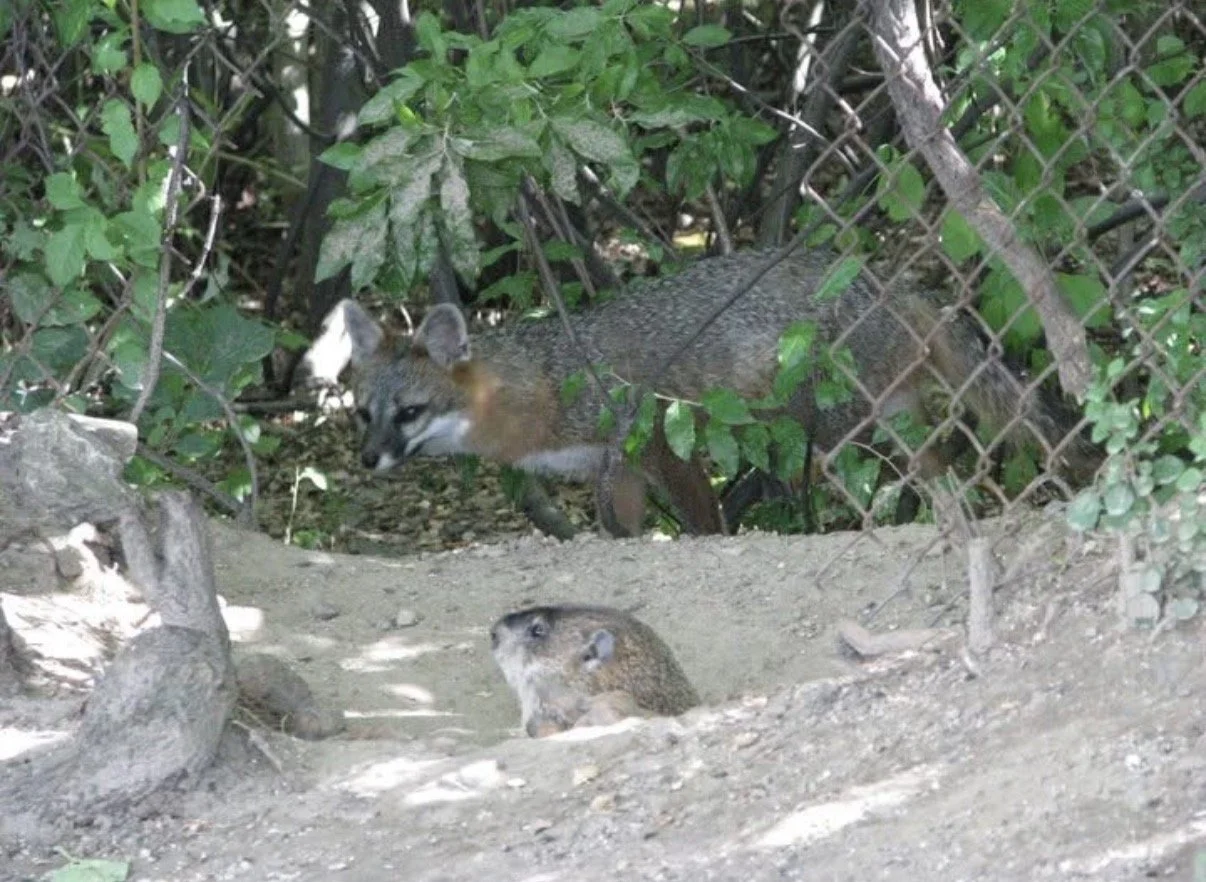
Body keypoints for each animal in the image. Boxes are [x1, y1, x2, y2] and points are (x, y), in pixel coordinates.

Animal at [302, 247, 1100, 537]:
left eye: (410, 413)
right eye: (365, 415)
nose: (369, 459)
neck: (542, 385)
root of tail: (889, 279)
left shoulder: (658, 440)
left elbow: (704, 523)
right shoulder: (614, 472)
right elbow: (619, 533)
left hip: (833, 438)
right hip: (890, 424)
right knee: (941, 476)